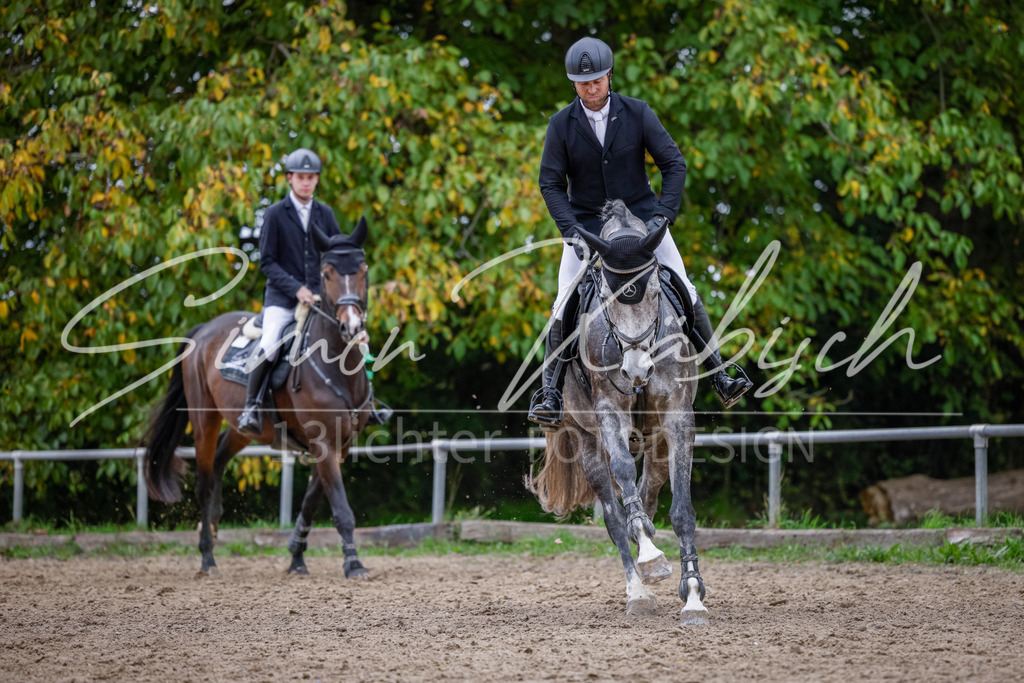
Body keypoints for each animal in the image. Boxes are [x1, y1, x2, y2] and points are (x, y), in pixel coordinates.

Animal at [142, 217, 375, 579]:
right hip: (204, 420)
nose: (351, 327)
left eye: (363, 270)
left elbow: (311, 502)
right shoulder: (323, 442)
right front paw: (354, 564)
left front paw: (297, 557)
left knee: (220, 459)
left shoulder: (341, 444)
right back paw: (207, 557)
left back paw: (211, 527)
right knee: (204, 480)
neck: (338, 366)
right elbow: (340, 508)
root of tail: (204, 329)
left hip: (244, 429)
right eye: (327, 274)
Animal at [527, 200, 708, 624]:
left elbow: (682, 509)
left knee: (648, 493)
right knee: (613, 516)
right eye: (608, 296)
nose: (637, 371)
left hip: (657, 445)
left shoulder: (678, 419)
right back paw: (638, 589)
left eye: (656, 292)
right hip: (586, 441)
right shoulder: (609, 413)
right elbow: (623, 474)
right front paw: (650, 555)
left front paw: (693, 594)